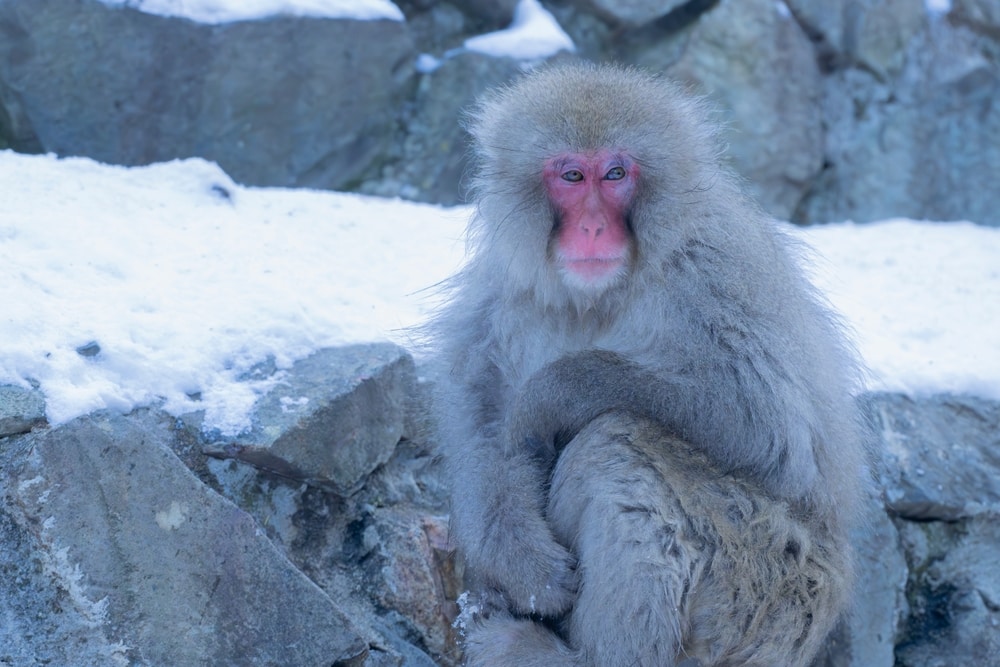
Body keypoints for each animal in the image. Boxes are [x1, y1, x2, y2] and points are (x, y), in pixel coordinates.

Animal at [429, 63, 866, 666]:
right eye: (572, 176)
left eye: (616, 174)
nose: (592, 227)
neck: (600, 296)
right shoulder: (498, 295)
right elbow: (486, 428)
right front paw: (522, 562)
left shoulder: (712, 273)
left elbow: (770, 431)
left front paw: (556, 392)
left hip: (764, 588)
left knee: (615, 445)